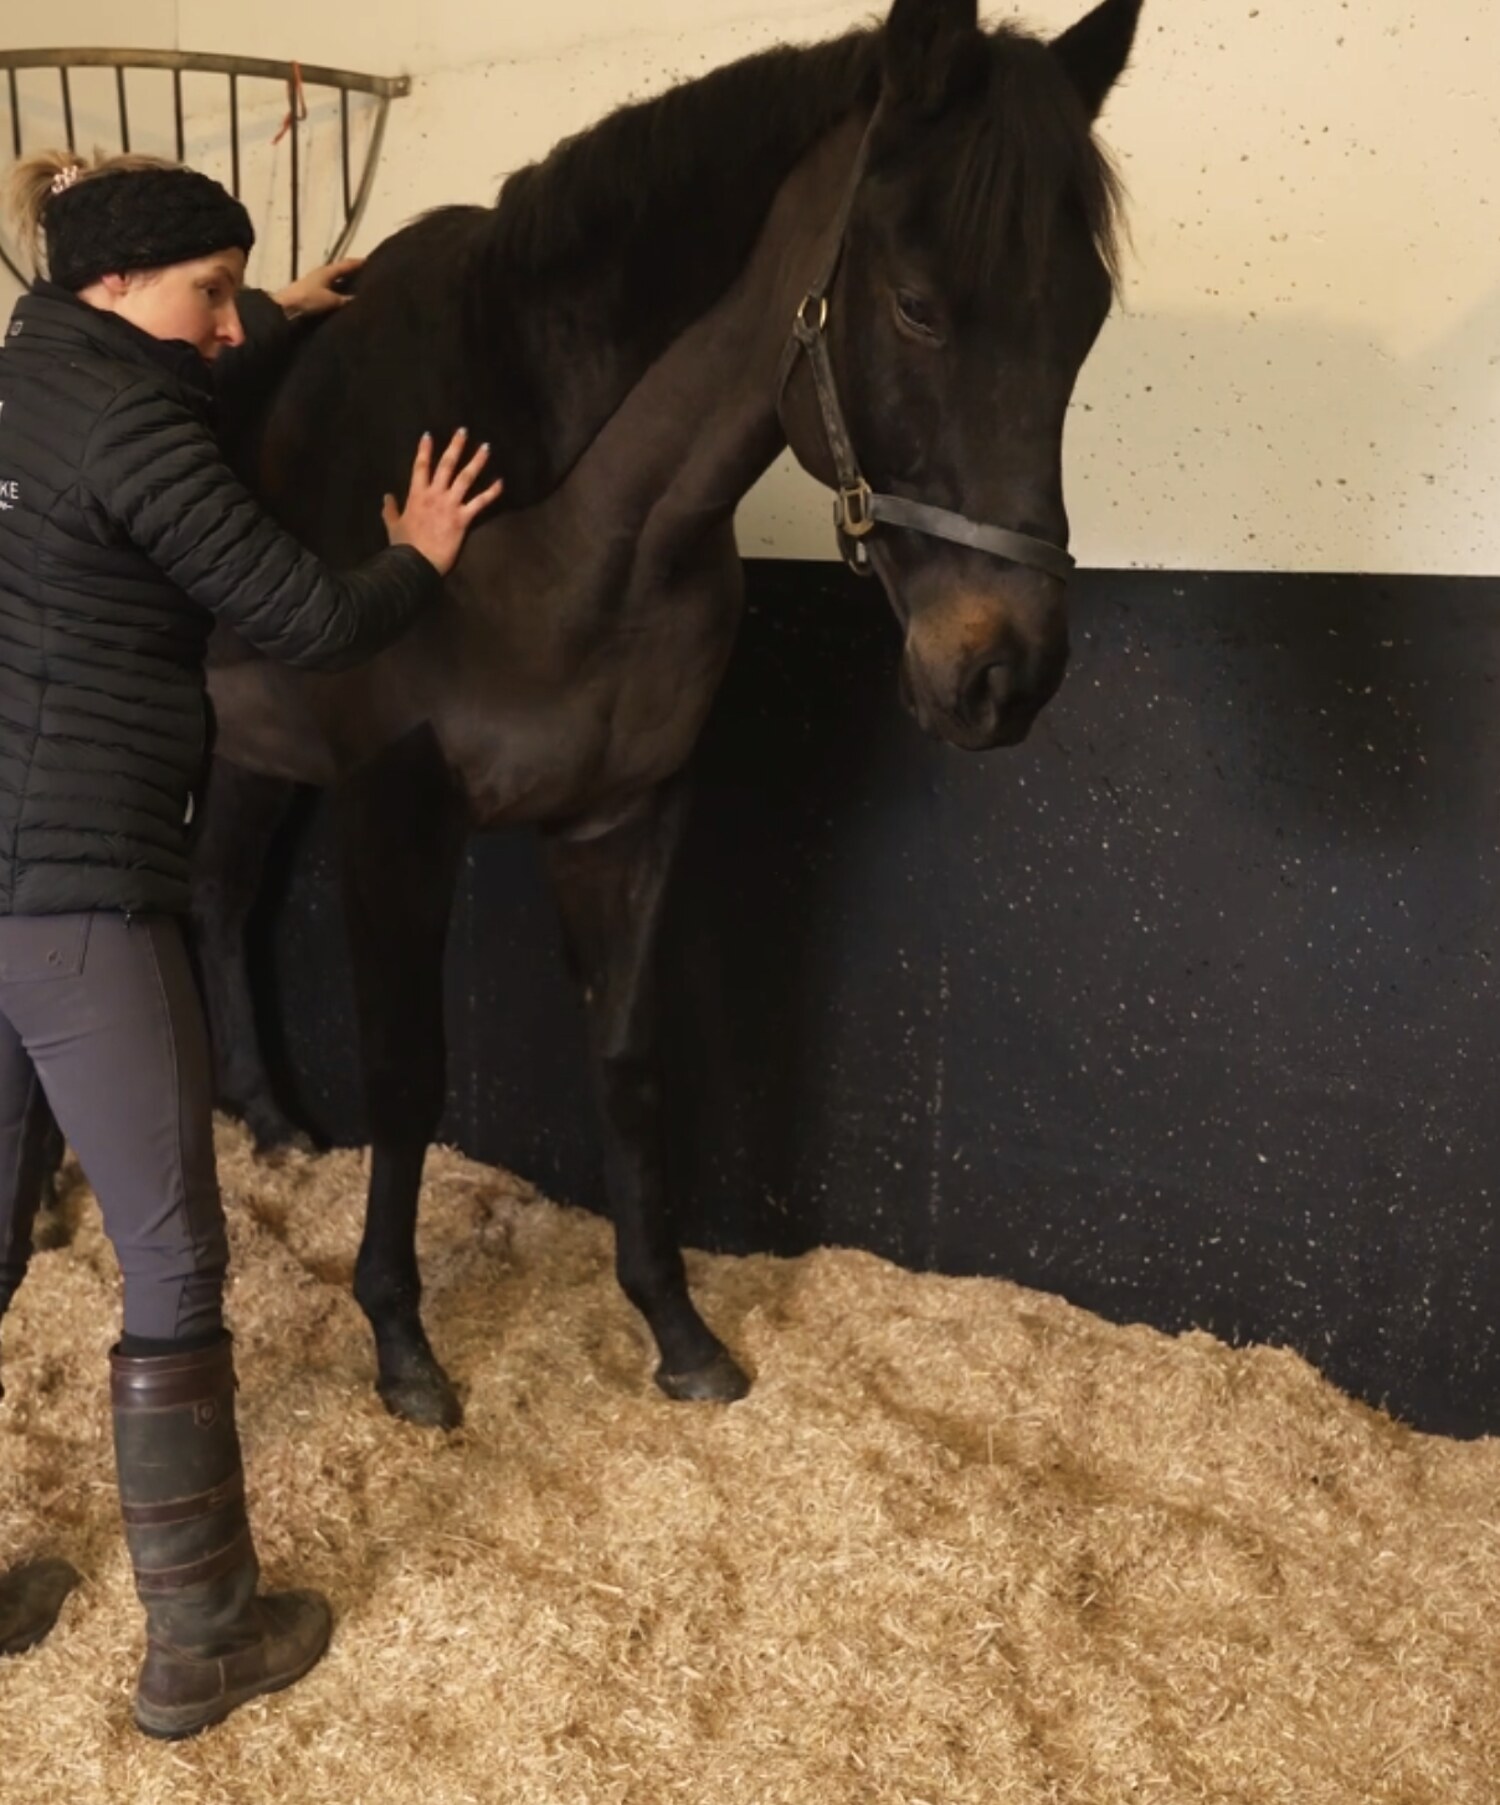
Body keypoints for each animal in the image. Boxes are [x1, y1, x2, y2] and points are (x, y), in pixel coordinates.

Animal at [192, 0, 1144, 1428]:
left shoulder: (628, 812)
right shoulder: (390, 808)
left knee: (217, 896)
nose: (1003, 671)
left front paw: (676, 1325)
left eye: (1085, 319)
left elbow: (632, 1059)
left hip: (248, 748)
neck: (545, 512)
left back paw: (268, 1123)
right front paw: (403, 1341)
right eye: (917, 306)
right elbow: (410, 1071)